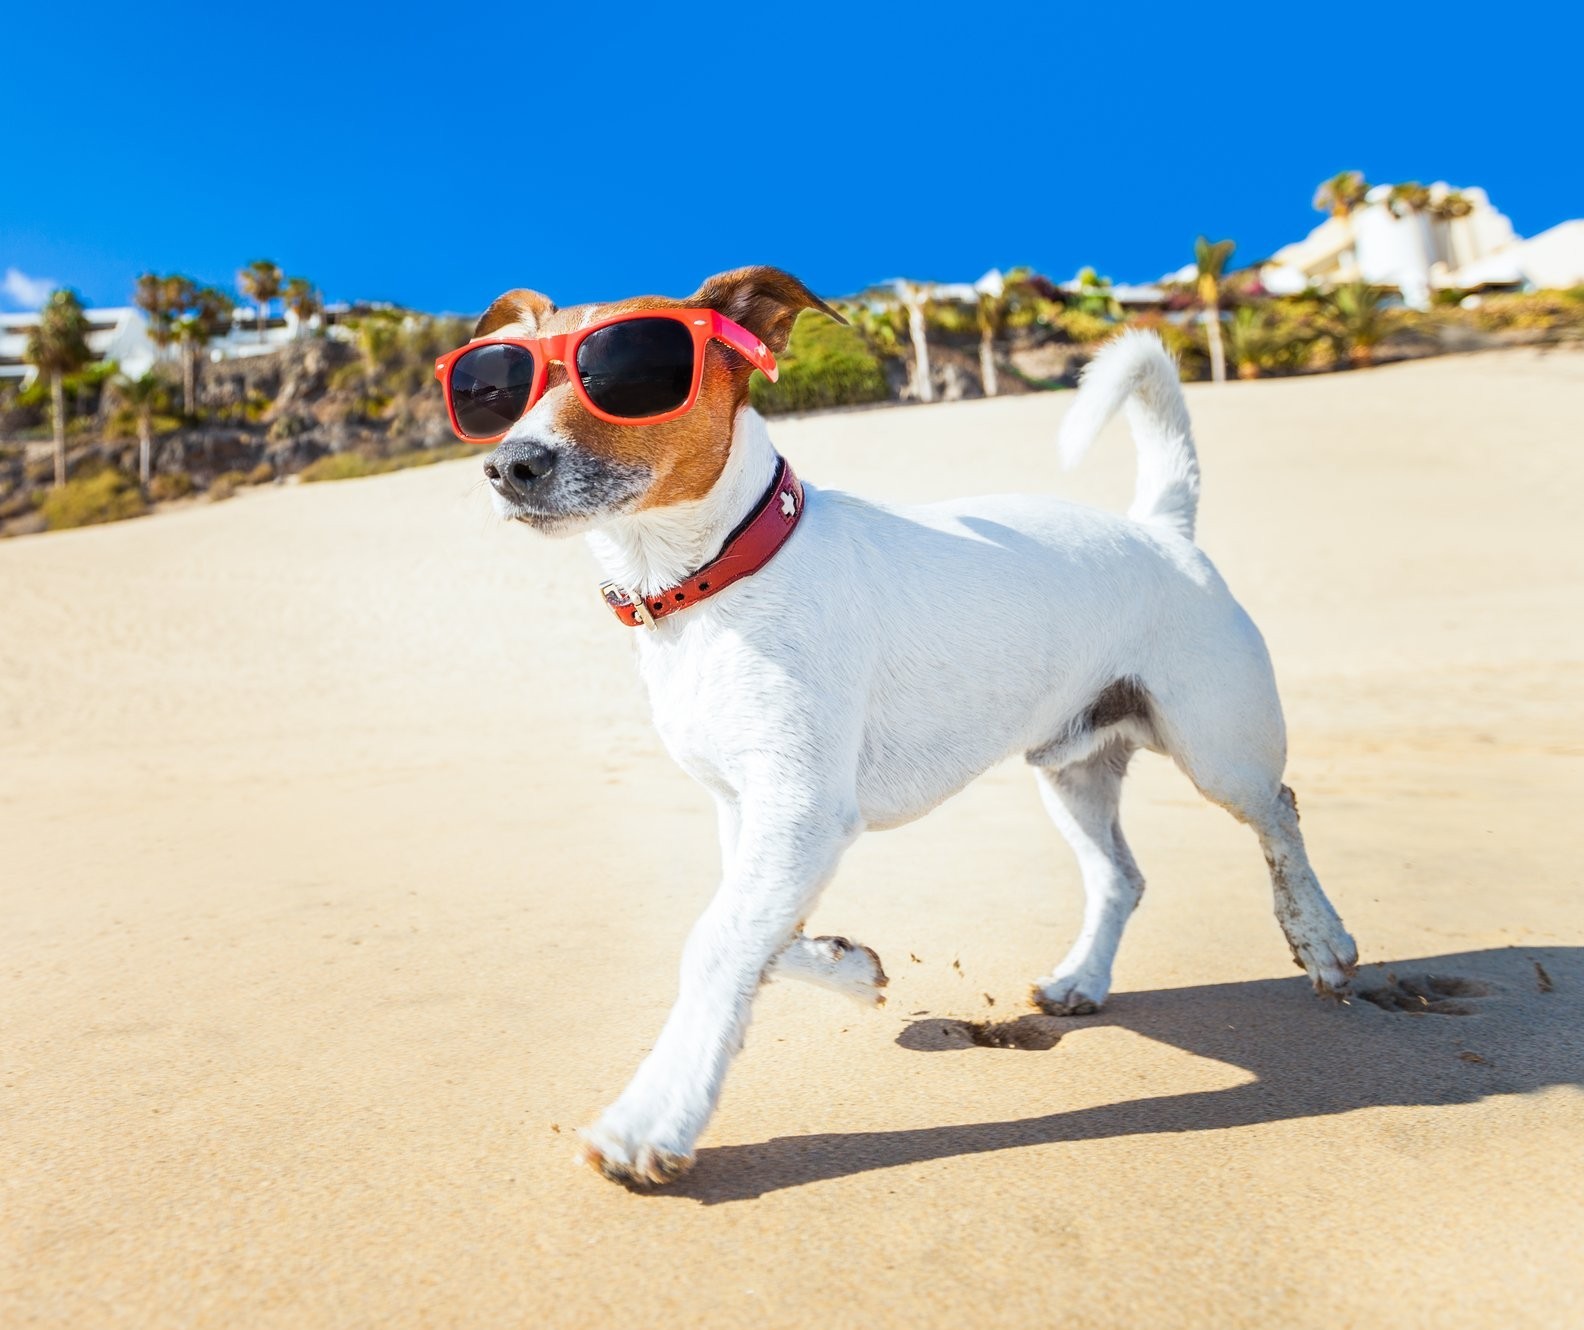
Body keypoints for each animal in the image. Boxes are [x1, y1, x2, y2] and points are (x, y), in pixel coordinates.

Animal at [449, 267, 1362, 1184]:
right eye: (499, 389)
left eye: (629, 374)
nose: (506, 465)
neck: (712, 575)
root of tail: (1160, 527)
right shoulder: (750, 809)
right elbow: (765, 933)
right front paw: (851, 970)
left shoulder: (802, 810)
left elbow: (716, 940)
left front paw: (652, 1117)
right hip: (1070, 767)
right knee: (1122, 877)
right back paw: (1082, 979)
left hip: (1219, 747)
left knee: (1279, 815)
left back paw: (1321, 939)